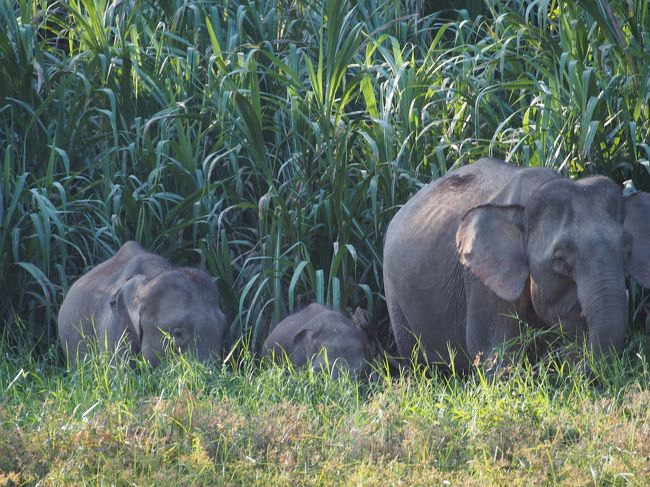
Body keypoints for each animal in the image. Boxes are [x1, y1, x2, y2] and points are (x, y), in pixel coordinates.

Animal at [382, 158, 648, 372]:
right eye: (561, 262)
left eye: (626, 252)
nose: (576, 366)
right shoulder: (482, 283)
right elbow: (494, 354)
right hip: (394, 294)